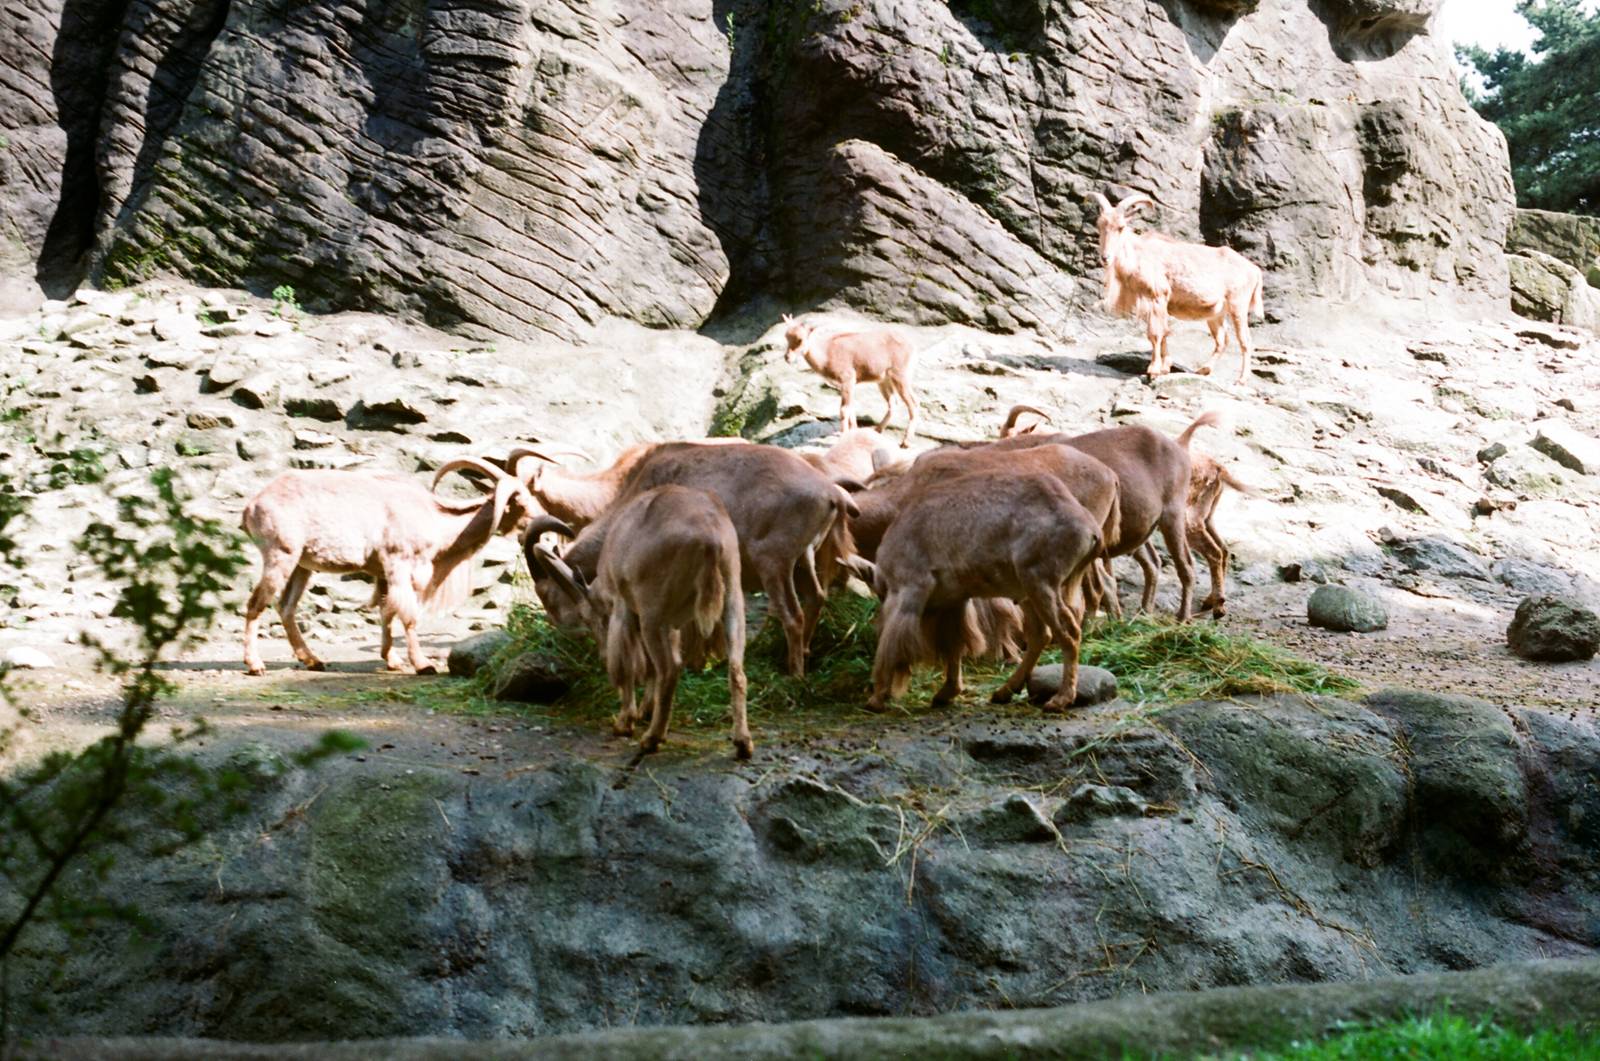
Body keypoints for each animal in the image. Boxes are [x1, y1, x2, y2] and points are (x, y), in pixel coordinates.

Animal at [240, 461, 537, 676]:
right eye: (521, 503)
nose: (538, 521)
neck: (435, 518)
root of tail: (253, 505)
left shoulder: (384, 573)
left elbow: (387, 612)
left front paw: (392, 660)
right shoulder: (400, 564)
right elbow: (408, 615)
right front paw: (423, 664)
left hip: (301, 565)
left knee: (286, 607)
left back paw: (313, 661)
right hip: (281, 555)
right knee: (256, 603)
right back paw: (255, 665)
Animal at [525, 486, 751, 759]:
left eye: (589, 618)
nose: (601, 653)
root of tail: (710, 541)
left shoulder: (622, 608)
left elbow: (627, 665)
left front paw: (625, 722)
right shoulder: (671, 625)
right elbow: (649, 667)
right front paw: (645, 711)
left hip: (651, 614)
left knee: (669, 669)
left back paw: (652, 739)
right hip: (731, 599)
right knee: (736, 669)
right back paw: (743, 742)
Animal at [782, 314, 920, 447]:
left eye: (800, 339)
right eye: (786, 336)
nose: (787, 357)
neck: (826, 356)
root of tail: (911, 346)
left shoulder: (847, 379)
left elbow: (844, 410)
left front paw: (843, 437)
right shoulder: (846, 385)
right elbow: (851, 408)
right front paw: (853, 432)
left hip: (900, 375)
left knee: (913, 403)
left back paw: (906, 442)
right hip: (883, 380)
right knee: (893, 402)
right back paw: (877, 430)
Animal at [861, 470, 1103, 713]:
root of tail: (1089, 527)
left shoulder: (909, 589)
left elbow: (891, 645)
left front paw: (877, 697)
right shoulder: (953, 601)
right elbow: (954, 644)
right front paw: (945, 693)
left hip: (1041, 582)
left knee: (1068, 632)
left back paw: (1060, 698)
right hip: (1028, 590)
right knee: (1040, 635)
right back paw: (1005, 691)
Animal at [1093, 192, 1264, 383]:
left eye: (1121, 227)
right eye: (1099, 224)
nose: (1105, 257)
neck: (1139, 253)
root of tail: (1254, 270)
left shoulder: (1158, 295)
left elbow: (1155, 333)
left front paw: (1153, 371)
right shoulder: (1154, 303)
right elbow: (1164, 332)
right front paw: (1165, 368)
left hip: (1238, 305)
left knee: (1245, 340)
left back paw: (1241, 379)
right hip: (1216, 313)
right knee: (1222, 340)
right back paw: (1203, 370)